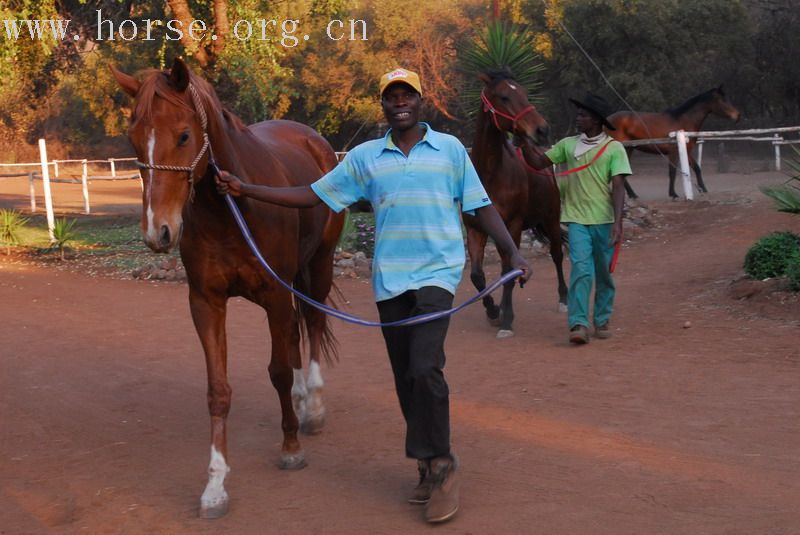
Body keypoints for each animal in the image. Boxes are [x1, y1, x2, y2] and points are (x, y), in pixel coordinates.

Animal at [110, 58, 344, 520]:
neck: (230, 212)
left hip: (318, 264)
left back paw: (312, 408)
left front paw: (291, 447)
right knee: (296, 333)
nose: (158, 232)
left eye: (184, 135)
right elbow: (218, 392)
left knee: (311, 322)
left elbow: (276, 370)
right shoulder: (206, 302)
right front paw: (215, 486)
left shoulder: (274, 294)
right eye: (133, 139)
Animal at [462, 70, 568, 340]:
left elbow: (509, 274)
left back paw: (564, 299)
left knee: (557, 255)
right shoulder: (475, 229)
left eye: (524, 93)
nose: (542, 129)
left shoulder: (513, 226)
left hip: (551, 219)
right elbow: (477, 276)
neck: (490, 177)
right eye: (504, 96)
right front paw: (493, 312)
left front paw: (507, 321)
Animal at [608, 86, 744, 199]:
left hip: (628, 149)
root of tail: (608, 119)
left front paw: (703, 189)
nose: (737, 115)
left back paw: (633, 195)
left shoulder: (686, 151)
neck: (682, 121)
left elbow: (697, 168)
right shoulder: (673, 151)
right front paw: (673, 194)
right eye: (722, 100)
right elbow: (672, 171)